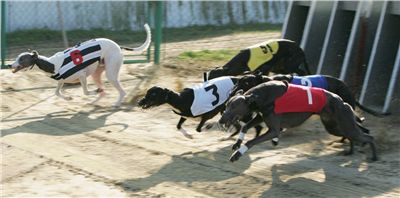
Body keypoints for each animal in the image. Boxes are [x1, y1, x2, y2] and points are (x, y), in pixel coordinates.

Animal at [10, 24, 152, 106]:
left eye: (21, 59)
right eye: (17, 57)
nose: (10, 65)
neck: (52, 64)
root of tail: (118, 46)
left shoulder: (82, 75)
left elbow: (85, 91)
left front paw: (93, 92)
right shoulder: (61, 81)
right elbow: (57, 93)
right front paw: (68, 98)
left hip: (111, 73)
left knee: (121, 92)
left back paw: (115, 103)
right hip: (97, 74)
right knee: (104, 91)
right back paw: (94, 101)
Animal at [220, 80, 376, 162]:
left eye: (234, 106)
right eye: (227, 105)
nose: (221, 120)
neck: (263, 96)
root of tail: (343, 102)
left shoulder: (273, 129)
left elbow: (251, 141)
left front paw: (237, 154)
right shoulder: (261, 116)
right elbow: (245, 126)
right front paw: (236, 144)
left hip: (345, 125)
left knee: (369, 136)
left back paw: (373, 157)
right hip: (334, 126)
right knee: (356, 135)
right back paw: (351, 151)